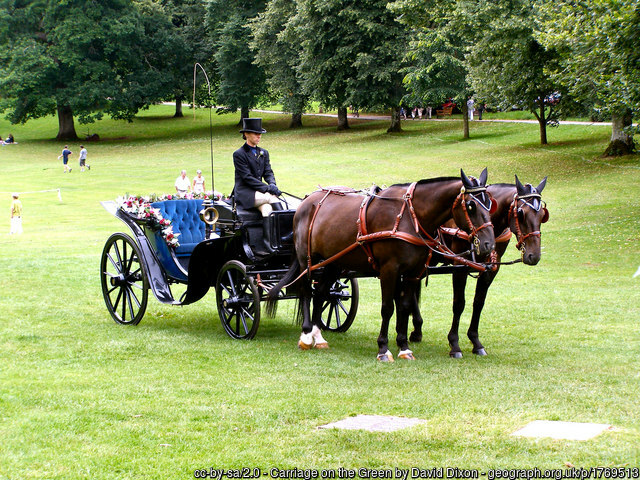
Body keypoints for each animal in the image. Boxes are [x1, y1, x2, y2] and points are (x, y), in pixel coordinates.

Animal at [268, 169, 498, 360]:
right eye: (471, 206)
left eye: (490, 203)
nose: (488, 244)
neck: (410, 217)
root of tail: (307, 201)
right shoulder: (390, 270)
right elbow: (387, 308)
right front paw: (383, 348)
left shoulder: (413, 272)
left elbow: (404, 306)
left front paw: (404, 347)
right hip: (308, 260)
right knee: (306, 292)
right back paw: (306, 335)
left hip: (334, 262)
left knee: (322, 294)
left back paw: (319, 337)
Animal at [412, 175, 548, 356]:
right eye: (521, 213)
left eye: (543, 215)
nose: (534, 255)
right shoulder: (459, 266)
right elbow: (459, 303)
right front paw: (454, 344)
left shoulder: (490, 270)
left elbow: (479, 302)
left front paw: (475, 341)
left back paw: (416, 329)